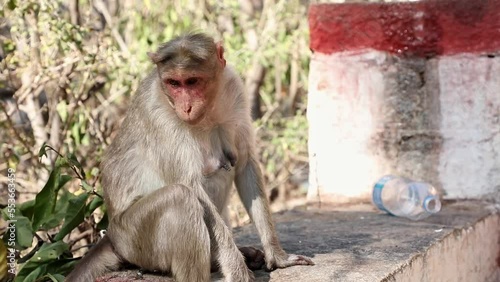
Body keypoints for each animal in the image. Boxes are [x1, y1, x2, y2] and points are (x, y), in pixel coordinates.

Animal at [63, 33, 312, 282]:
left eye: (192, 81)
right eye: (174, 83)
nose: (186, 107)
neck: (208, 111)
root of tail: (112, 236)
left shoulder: (235, 89)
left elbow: (245, 163)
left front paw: (277, 255)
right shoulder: (158, 114)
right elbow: (190, 185)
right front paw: (236, 268)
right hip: (133, 239)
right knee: (181, 197)